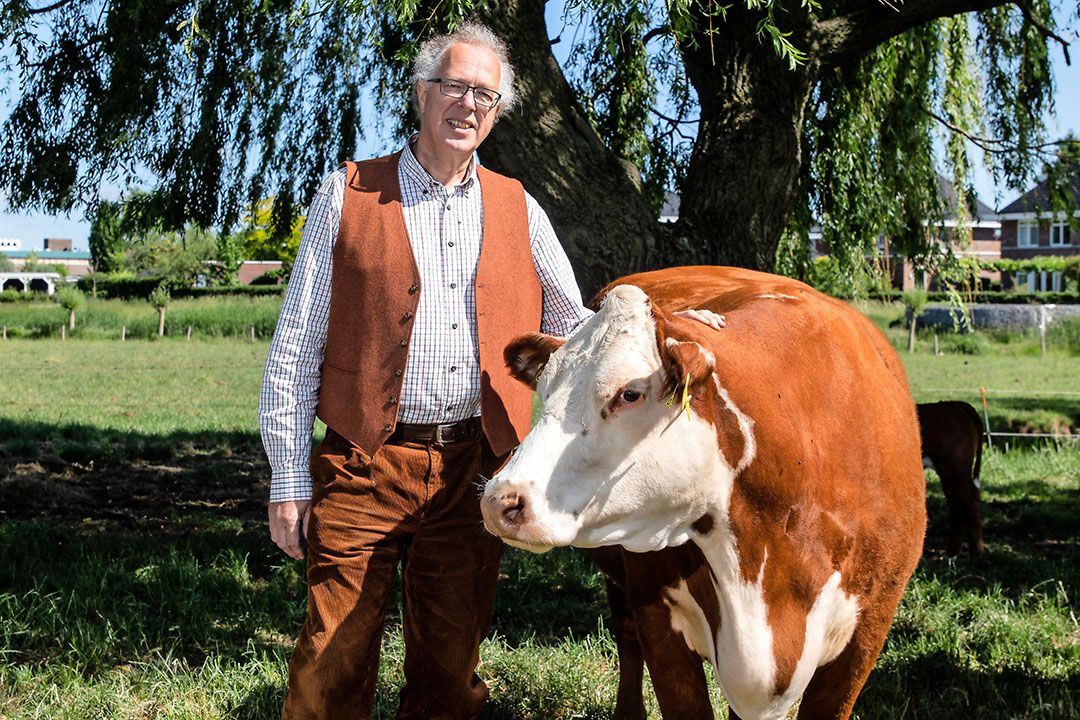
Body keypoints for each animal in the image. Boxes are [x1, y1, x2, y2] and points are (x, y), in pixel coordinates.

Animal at [486, 266, 924, 720]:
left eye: (629, 393)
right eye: (545, 391)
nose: (501, 500)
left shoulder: (868, 630)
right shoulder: (658, 618)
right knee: (626, 638)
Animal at [915, 399, 984, 557]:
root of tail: (954, 404)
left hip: (956, 468)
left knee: (970, 501)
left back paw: (976, 553)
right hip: (949, 474)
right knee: (957, 505)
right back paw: (952, 552)